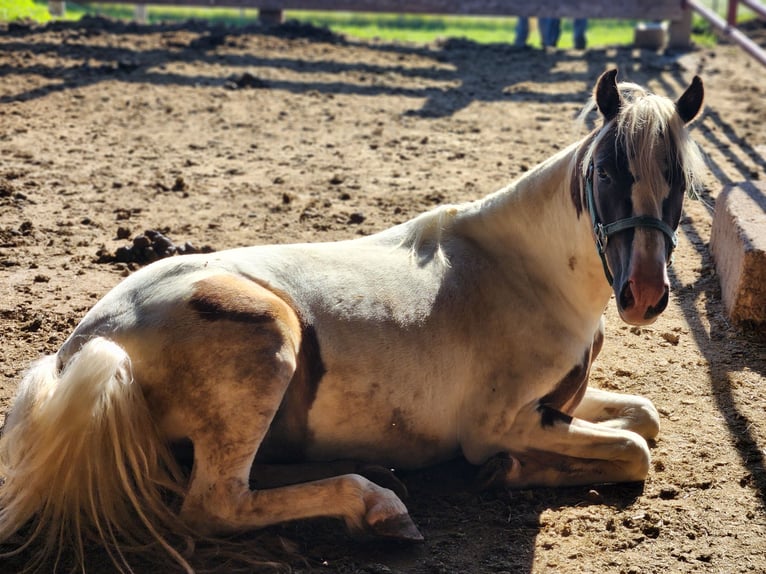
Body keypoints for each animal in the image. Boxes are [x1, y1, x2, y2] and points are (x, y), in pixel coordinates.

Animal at [1, 70, 708, 572]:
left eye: (679, 180)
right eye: (608, 171)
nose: (645, 294)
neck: (522, 270)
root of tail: (87, 346)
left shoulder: (561, 403)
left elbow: (645, 417)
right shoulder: (502, 423)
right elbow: (635, 450)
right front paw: (507, 471)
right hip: (268, 341)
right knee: (214, 503)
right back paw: (376, 507)